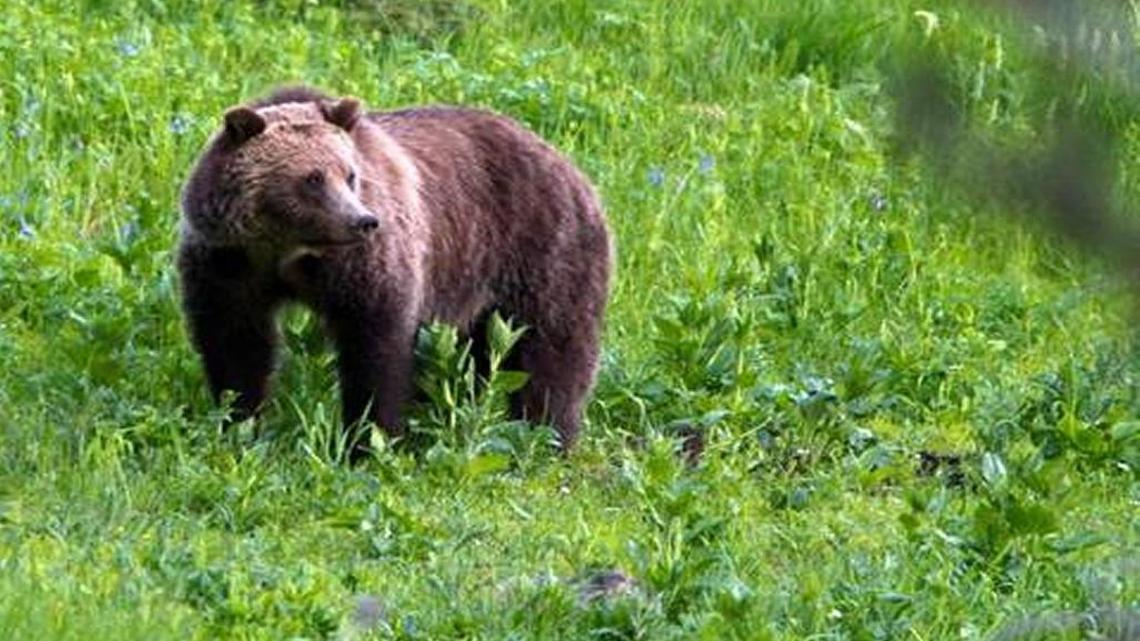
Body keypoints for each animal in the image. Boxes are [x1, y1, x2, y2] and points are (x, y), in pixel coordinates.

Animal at [177, 86, 612, 458]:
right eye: (312, 178)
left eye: (350, 174)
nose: (363, 221)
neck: (287, 250)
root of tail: (567, 163)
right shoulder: (228, 263)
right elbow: (236, 342)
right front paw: (239, 423)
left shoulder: (363, 267)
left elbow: (375, 346)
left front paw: (369, 442)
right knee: (481, 354)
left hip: (541, 250)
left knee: (552, 349)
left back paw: (547, 436)